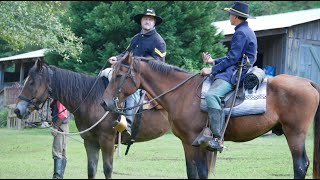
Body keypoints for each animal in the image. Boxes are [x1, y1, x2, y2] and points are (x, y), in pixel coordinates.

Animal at [13, 59, 170, 179]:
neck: (92, 101)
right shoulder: (90, 141)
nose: (17, 110)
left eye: (32, 82)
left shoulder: (107, 140)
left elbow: (107, 169)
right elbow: (91, 169)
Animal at [101, 52, 320, 179]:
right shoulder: (188, 143)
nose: (105, 103)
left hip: (295, 134)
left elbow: (202, 172)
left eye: (119, 75)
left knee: (300, 165)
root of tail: (308, 83)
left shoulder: (199, 144)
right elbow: (192, 172)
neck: (183, 93)